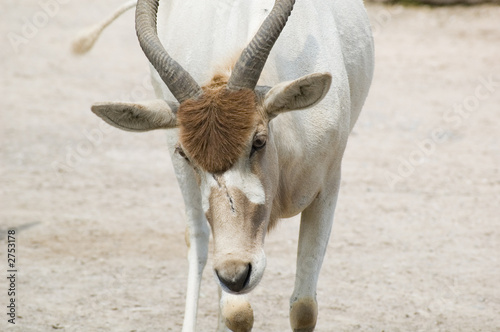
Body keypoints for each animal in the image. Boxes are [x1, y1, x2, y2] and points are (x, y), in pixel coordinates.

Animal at [78, 0, 374, 330]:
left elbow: (304, 308)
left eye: (258, 141)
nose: (235, 274)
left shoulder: (327, 189)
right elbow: (238, 313)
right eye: (186, 154)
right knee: (197, 239)